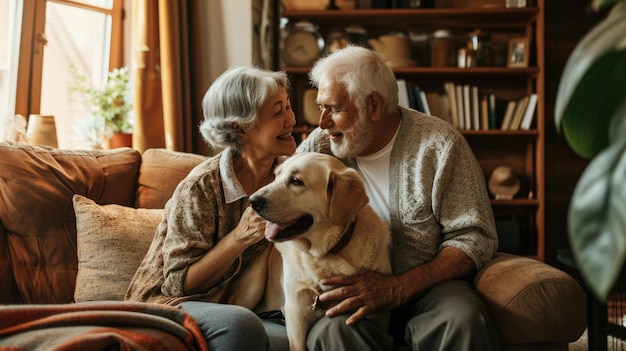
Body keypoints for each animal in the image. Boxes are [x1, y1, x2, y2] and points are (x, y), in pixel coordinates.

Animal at [249, 153, 390, 351]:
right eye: (276, 175)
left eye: (296, 181)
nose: (252, 201)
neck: (323, 255)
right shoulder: (296, 311)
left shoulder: (377, 311)